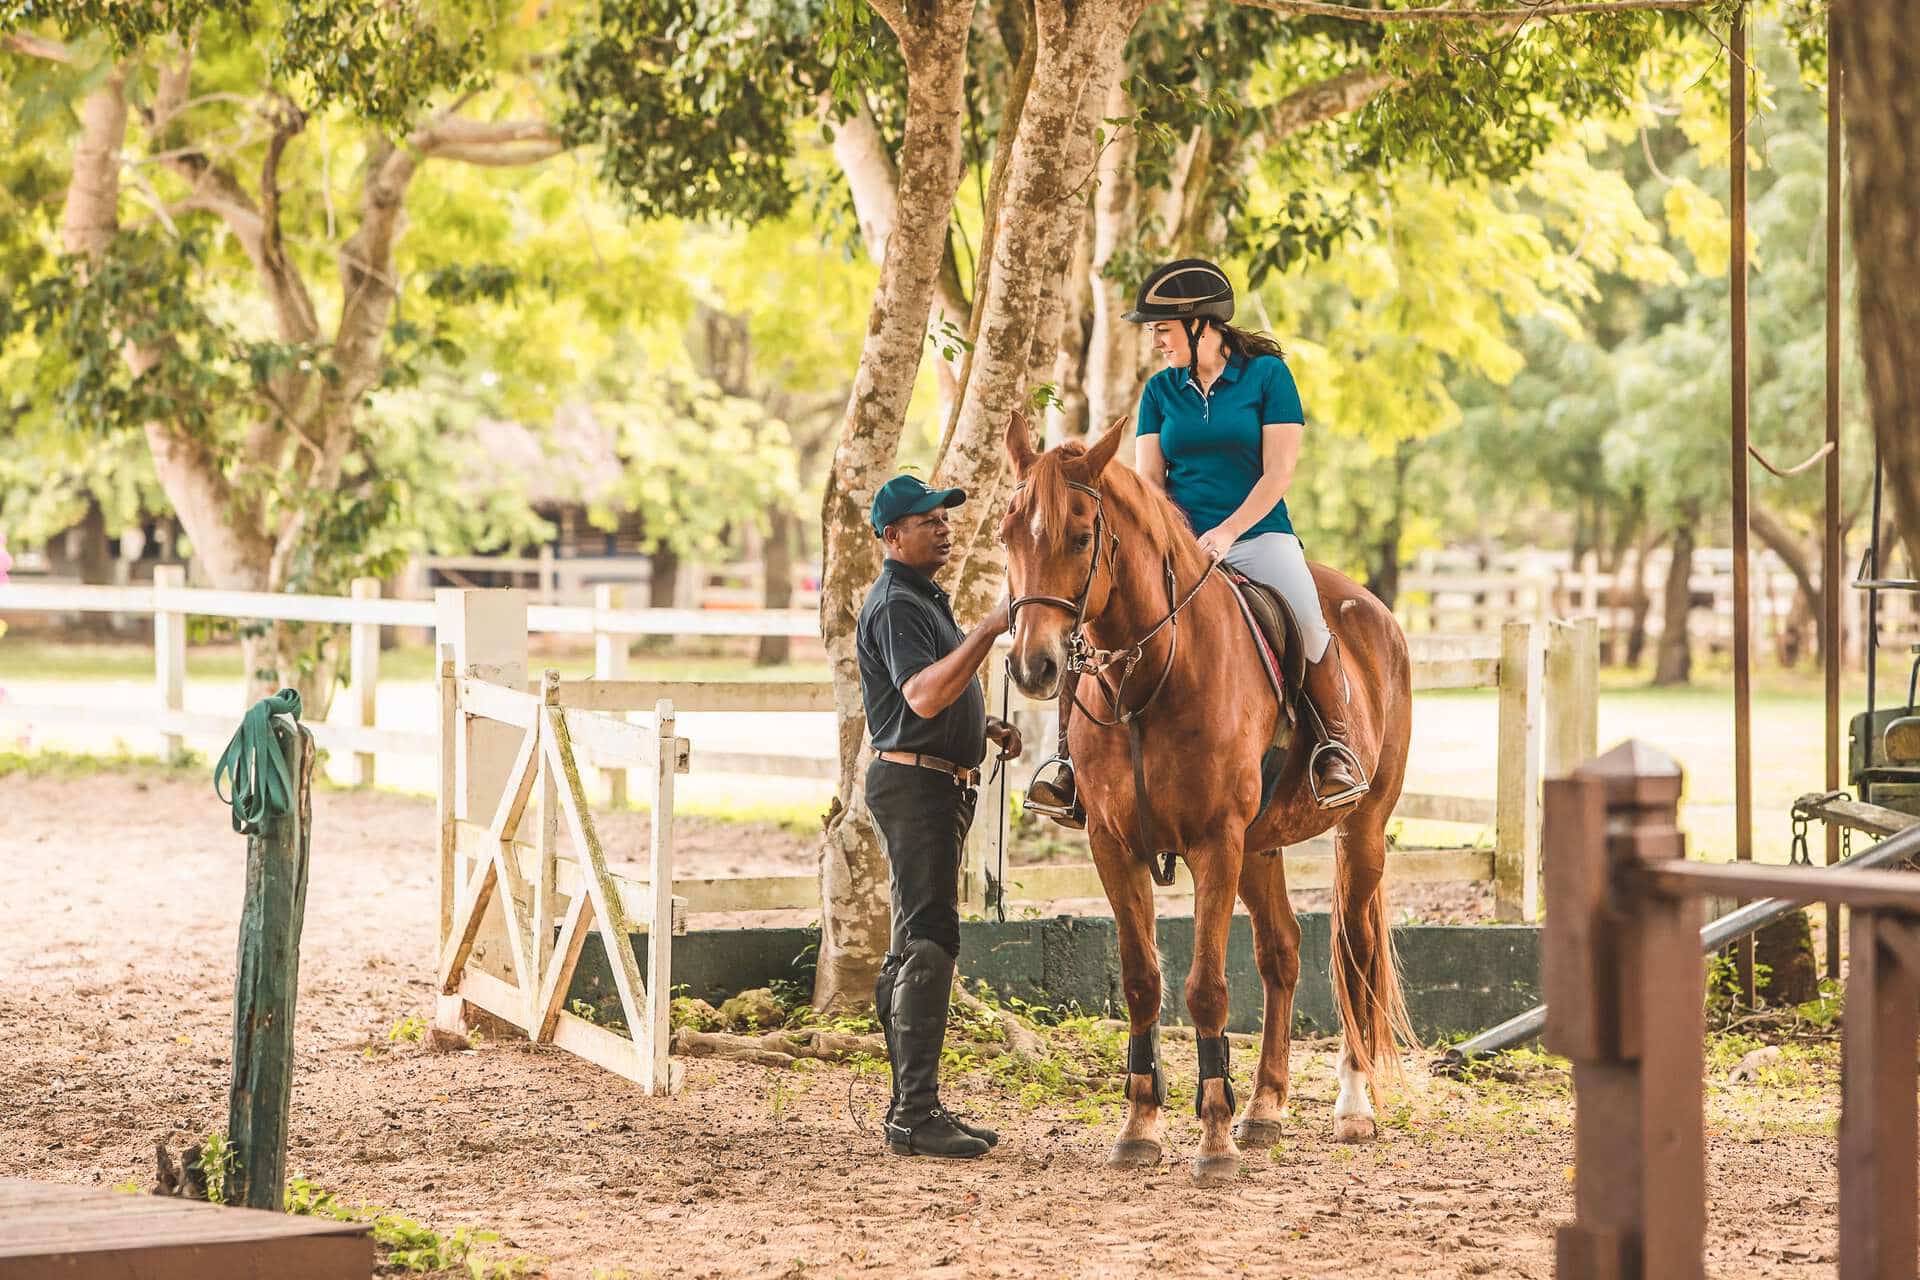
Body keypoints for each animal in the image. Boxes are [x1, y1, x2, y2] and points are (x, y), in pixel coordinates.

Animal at [998, 420, 1420, 1189]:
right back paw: (1265, 1109)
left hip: (1361, 832)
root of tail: (1373, 609)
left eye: (1081, 534)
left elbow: (1206, 988)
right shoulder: (1114, 846)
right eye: (1008, 532)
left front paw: (1213, 1137)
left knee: (1353, 953)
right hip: (1261, 846)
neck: (1151, 679)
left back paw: (1351, 1106)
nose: (1032, 665)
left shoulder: (1214, 843)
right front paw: (1141, 1125)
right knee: (1283, 953)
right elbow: (1142, 982)